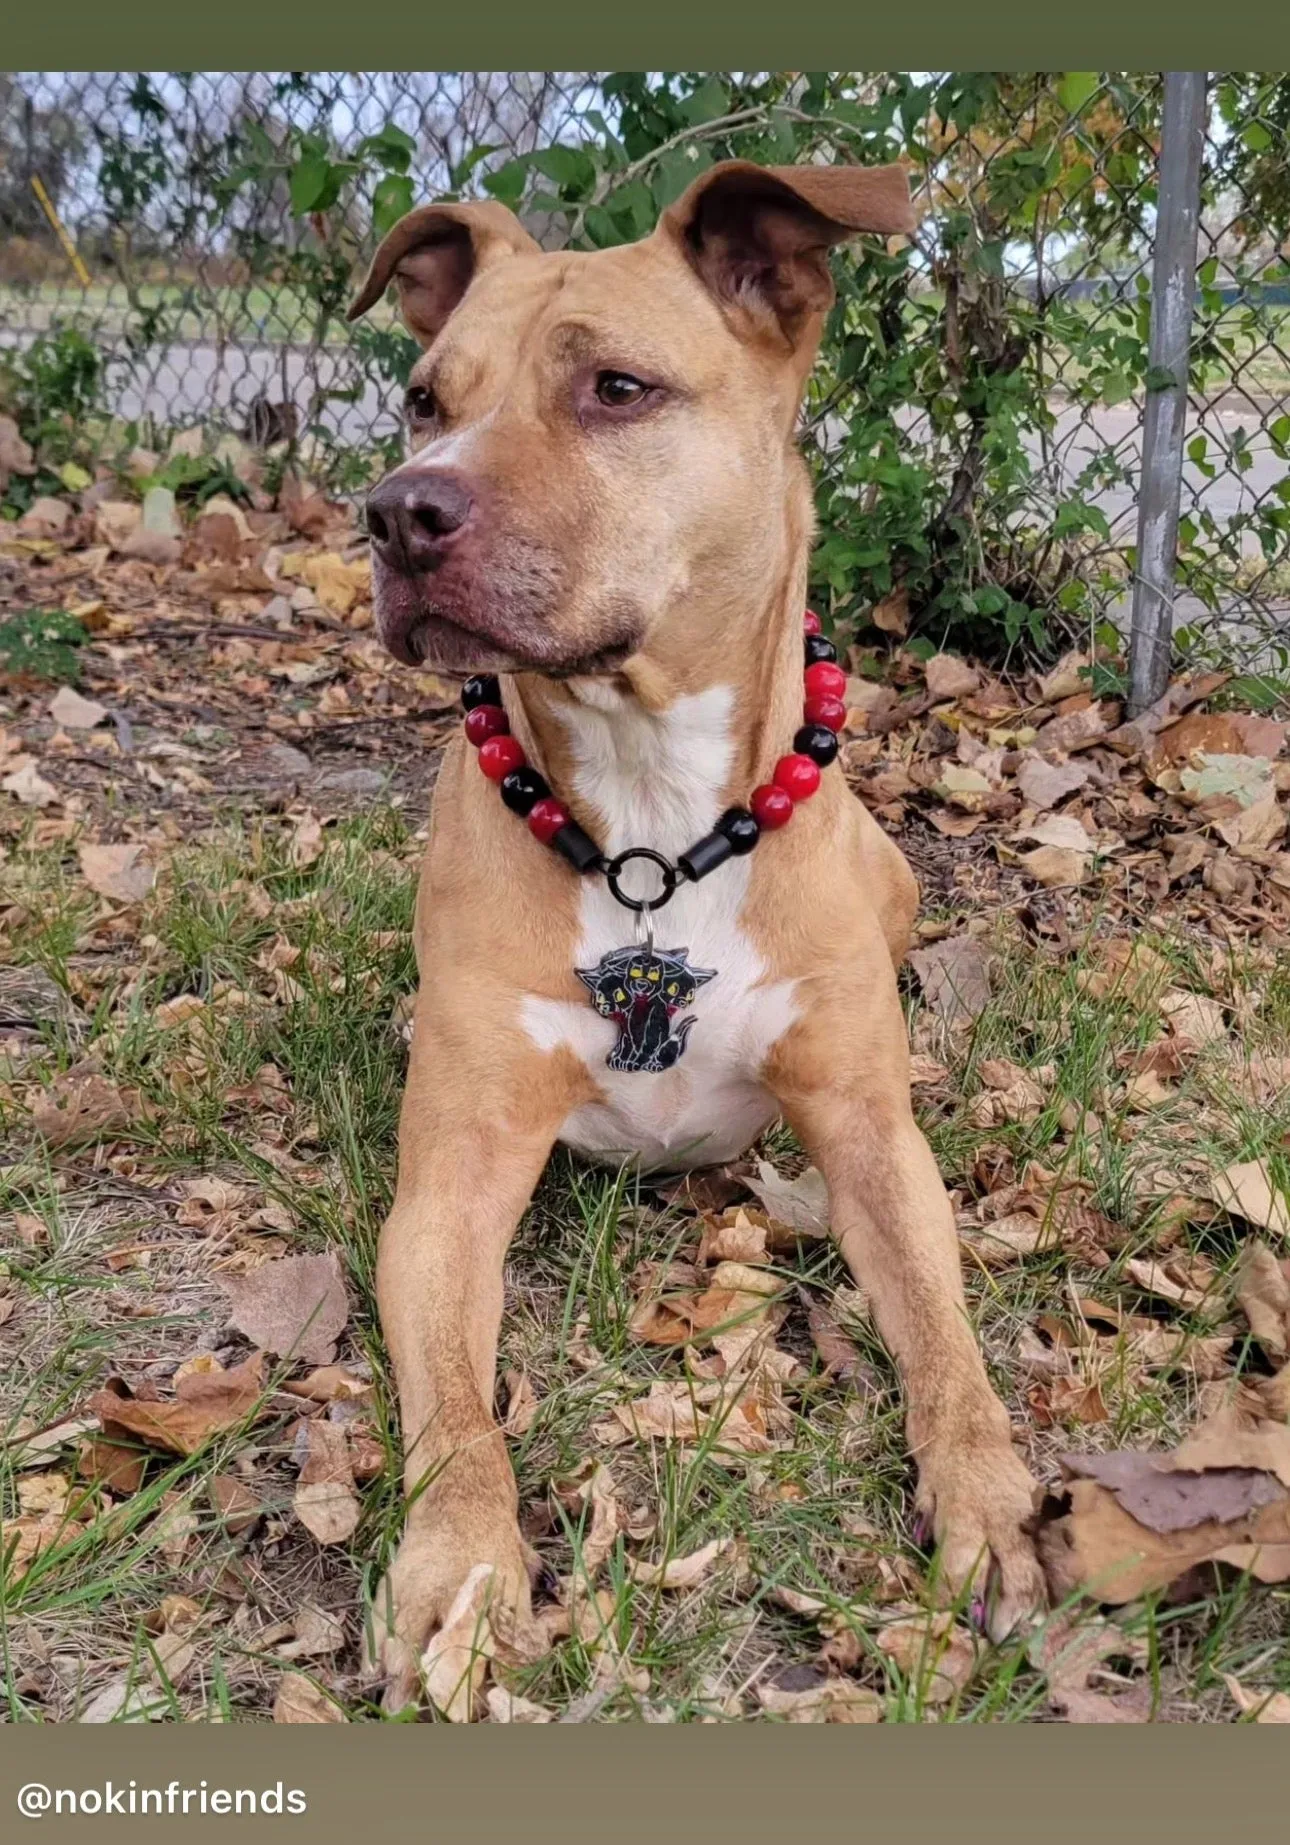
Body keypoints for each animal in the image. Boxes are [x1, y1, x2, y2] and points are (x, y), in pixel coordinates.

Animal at [345, 158, 1048, 1697]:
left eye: (616, 387)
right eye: (425, 396)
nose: (397, 512)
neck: (652, 827)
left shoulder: (871, 1142)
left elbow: (946, 1340)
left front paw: (990, 1499)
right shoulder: (448, 1189)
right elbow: (455, 1414)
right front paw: (462, 1564)